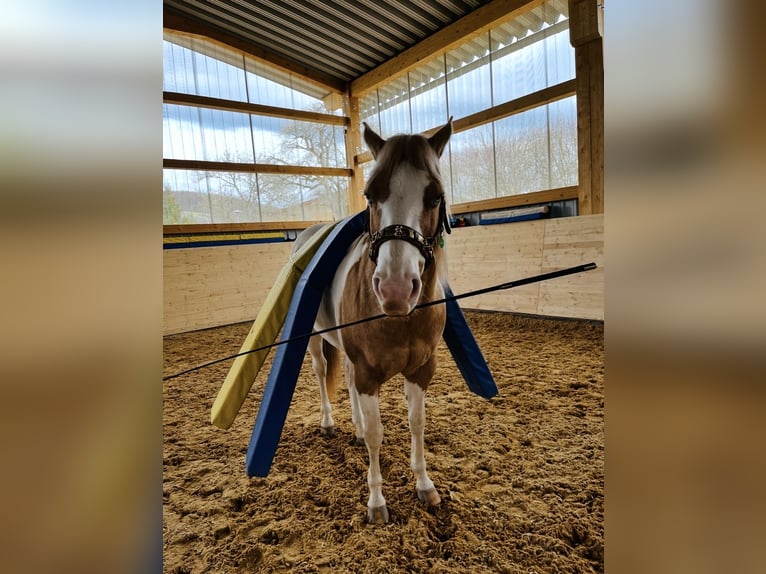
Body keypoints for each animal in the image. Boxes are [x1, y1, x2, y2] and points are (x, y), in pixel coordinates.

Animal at [293, 119, 453, 524]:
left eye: (435, 196)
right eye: (369, 194)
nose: (396, 288)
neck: (400, 319)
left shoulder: (421, 370)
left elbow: (416, 423)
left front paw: (424, 484)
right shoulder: (368, 375)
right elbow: (377, 434)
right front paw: (376, 501)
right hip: (315, 340)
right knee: (321, 372)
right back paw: (329, 422)